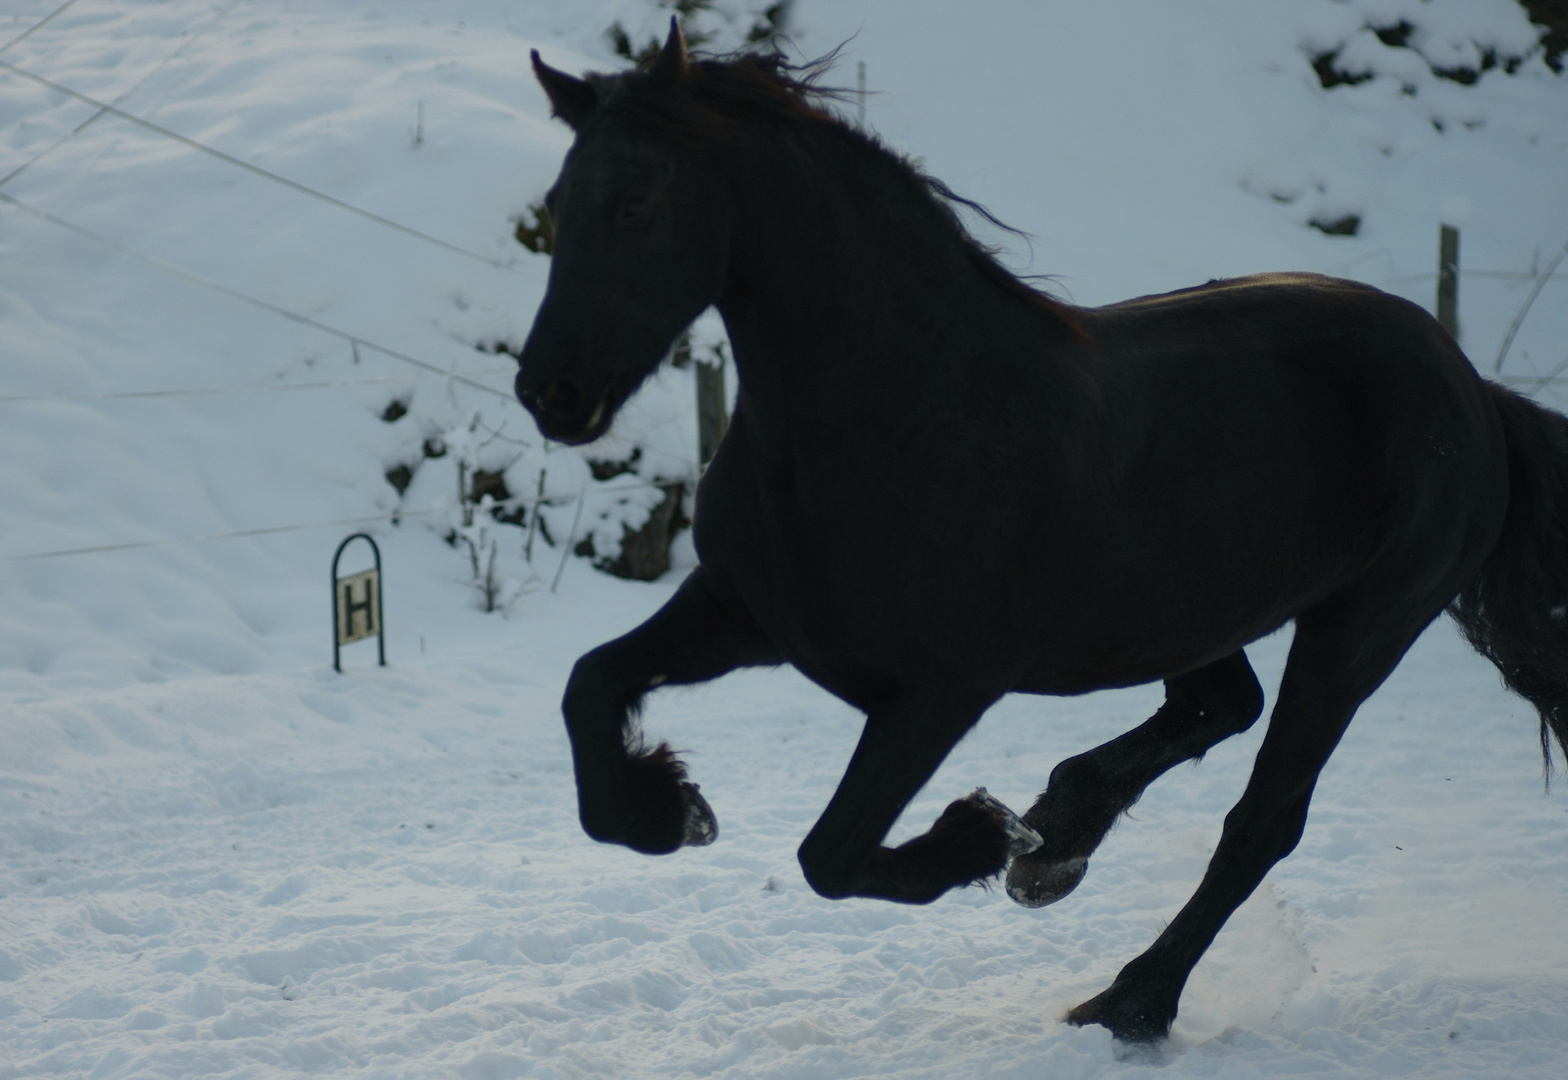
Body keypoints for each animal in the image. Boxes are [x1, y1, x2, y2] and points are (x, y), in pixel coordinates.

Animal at [514, 23, 1568, 1034]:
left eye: (637, 201)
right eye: (558, 203)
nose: (549, 391)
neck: (887, 413)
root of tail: (1471, 386)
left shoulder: (940, 689)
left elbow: (832, 852)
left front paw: (978, 833)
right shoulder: (747, 615)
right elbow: (587, 685)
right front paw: (669, 807)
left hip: (1360, 630)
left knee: (1263, 819)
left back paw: (1130, 1000)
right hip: (1185, 611)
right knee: (1220, 705)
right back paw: (1059, 835)